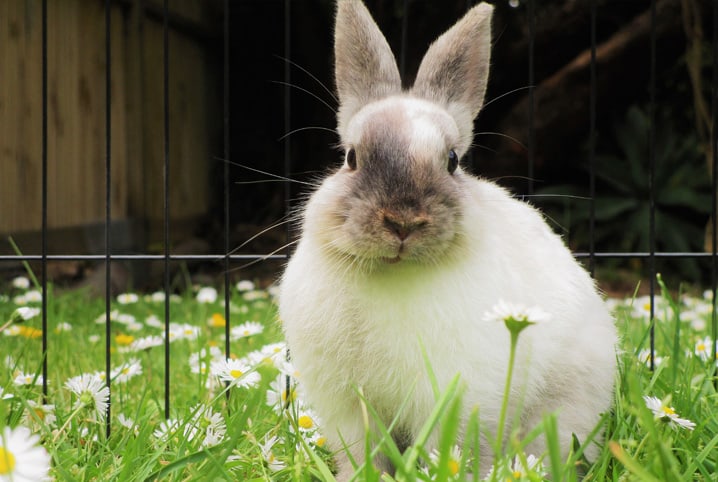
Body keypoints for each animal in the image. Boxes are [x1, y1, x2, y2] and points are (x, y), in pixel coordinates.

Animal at [280, 0, 620, 478]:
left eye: (453, 161)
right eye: (351, 157)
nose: (403, 221)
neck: (394, 274)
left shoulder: (459, 397)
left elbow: (455, 446)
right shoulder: (347, 406)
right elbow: (362, 451)